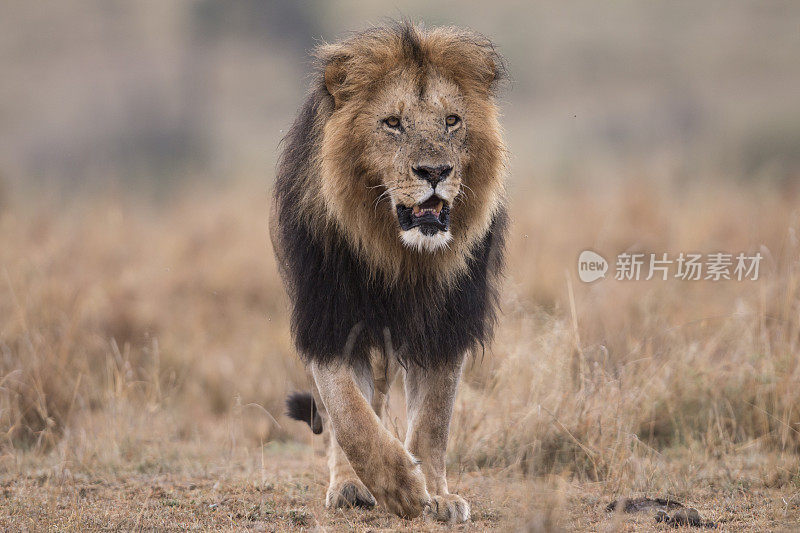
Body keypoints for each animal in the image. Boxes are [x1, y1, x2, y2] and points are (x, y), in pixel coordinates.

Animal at [268, 22, 506, 520]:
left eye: (452, 121)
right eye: (393, 123)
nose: (435, 171)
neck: (401, 256)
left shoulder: (446, 323)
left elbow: (434, 418)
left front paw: (436, 494)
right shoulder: (329, 317)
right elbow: (350, 415)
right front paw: (400, 487)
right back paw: (350, 486)